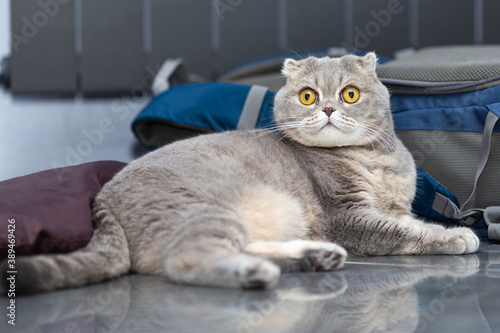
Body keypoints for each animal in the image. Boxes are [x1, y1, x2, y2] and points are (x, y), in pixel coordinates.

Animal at [4, 52, 480, 294]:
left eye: (349, 94)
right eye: (308, 96)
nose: (328, 108)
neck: (375, 159)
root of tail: (101, 203)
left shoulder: (387, 207)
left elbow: (409, 220)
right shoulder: (347, 216)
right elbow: (406, 230)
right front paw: (458, 235)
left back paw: (313, 256)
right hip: (204, 211)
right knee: (188, 259)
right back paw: (256, 273)